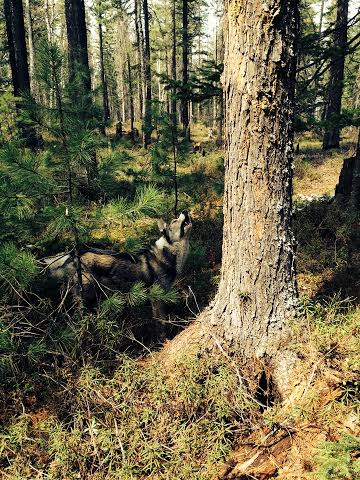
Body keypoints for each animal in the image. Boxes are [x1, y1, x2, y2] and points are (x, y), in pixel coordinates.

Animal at [40, 210, 193, 330]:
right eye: (174, 220)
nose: (185, 210)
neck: (169, 251)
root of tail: (74, 254)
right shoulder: (157, 299)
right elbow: (161, 323)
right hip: (86, 295)